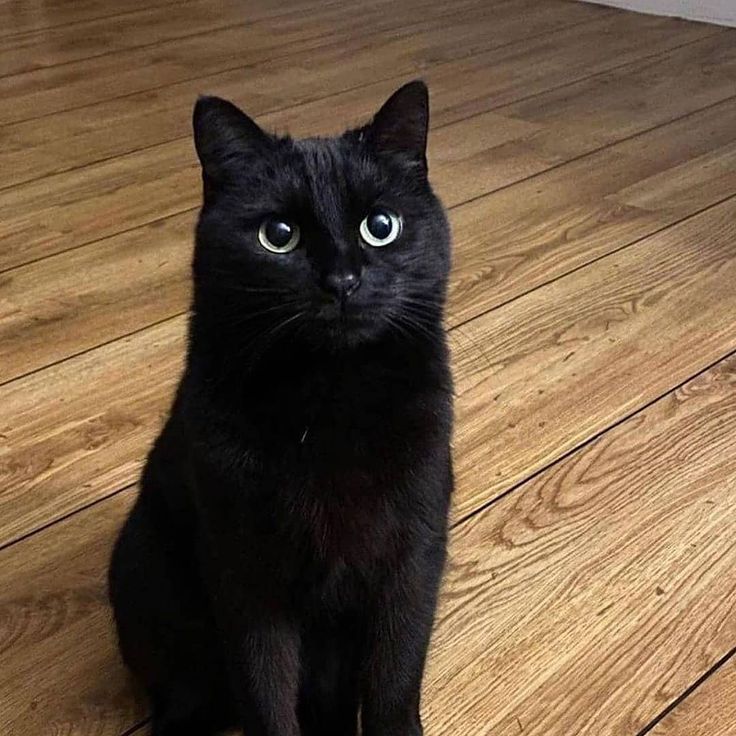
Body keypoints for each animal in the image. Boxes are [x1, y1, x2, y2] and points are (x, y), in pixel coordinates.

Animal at [108, 80, 454, 736]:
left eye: (381, 226)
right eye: (278, 235)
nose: (342, 281)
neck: (328, 400)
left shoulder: (411, 561)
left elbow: (395, 682)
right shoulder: (247, 576)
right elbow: (265, 697)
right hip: (147, 571)